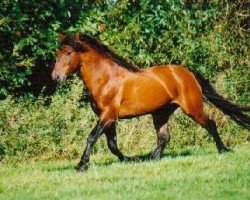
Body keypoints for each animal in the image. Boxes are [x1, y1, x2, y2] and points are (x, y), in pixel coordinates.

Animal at [51, 32, 250, 172]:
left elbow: (92, 137)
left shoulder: (108, 115)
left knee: (210, 124)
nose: (56, 77)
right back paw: (152, 158)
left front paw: (81, 165)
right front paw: (131, 160)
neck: (106, 79)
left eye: (68, 52)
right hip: (161, 113)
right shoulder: (108, 117)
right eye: (57, 54)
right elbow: (112, 145)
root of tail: (187, 73)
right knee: (164, 136)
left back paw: (223, 150)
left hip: (192, 108)